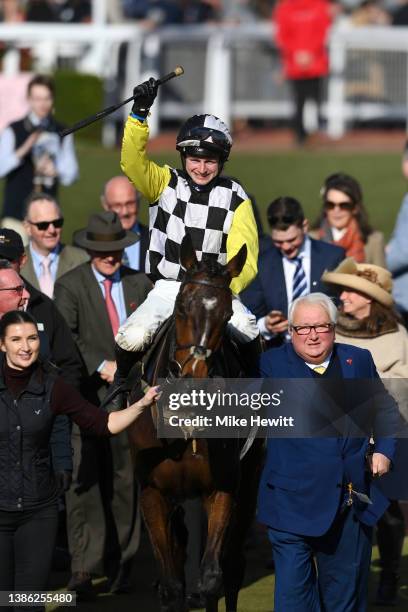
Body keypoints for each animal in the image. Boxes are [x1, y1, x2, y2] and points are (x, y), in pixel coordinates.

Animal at [129, 235, 266, 612]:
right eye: (180, 307)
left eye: (227, 314)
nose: (192, 379)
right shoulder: (153, 492)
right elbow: (172, 585)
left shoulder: (223, 487)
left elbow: (211, 579)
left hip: (250, 479)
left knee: (232, 567)